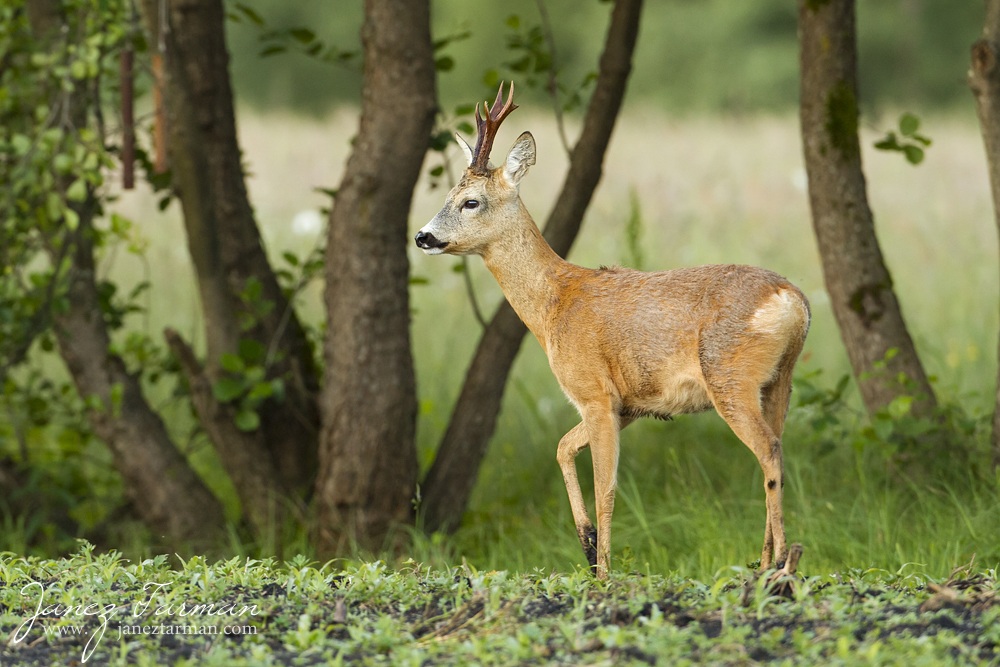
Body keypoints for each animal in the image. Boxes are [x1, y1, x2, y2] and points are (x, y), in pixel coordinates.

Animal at [415, 82, 810, 579]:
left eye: (471, 201)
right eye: (448, 194)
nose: (422, 236)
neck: (554, 305)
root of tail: (793, 299)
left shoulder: (594, 392)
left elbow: (606, 488)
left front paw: (602, 572)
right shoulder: (628, 404)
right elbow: (563, 448)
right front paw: (586, 546)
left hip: (731, 377)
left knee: (768, 450)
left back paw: (779, 564)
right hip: (779, 381)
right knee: (776, 448)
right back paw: (765, 562)